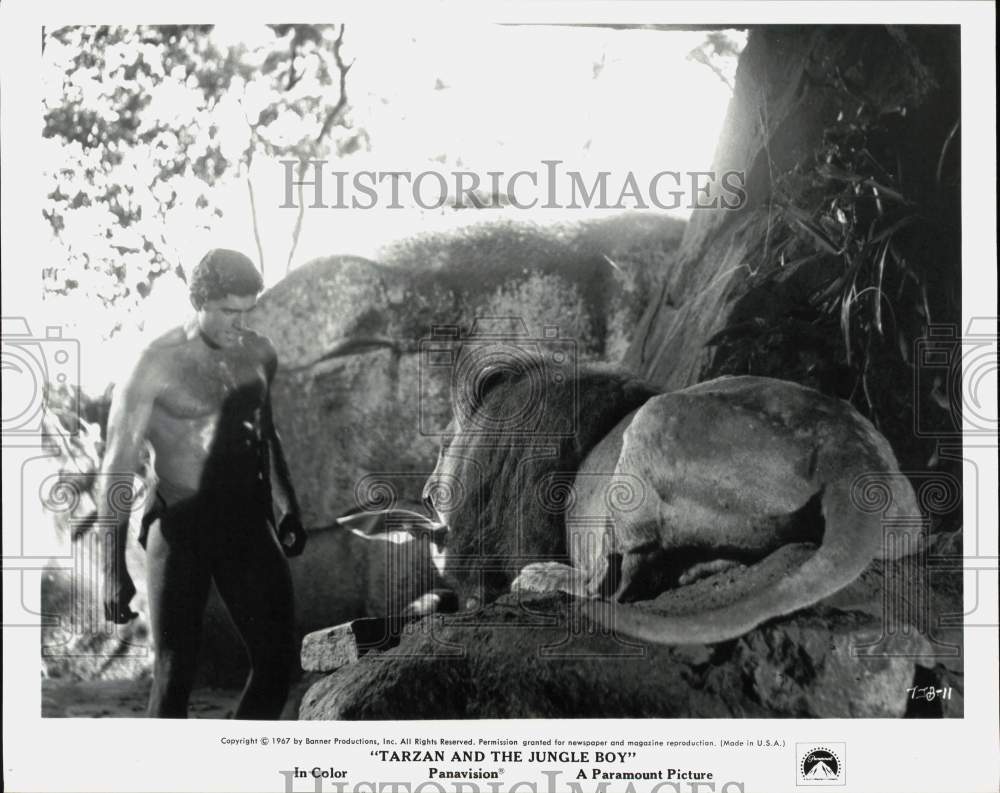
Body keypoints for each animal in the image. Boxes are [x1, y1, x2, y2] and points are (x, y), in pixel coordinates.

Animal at [366, 358, 920, 644]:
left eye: (443, 444)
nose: (424, 493)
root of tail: (850, 449)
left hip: (653, 422)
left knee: (610, 587)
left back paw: (544, 579)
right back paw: (702, 568)